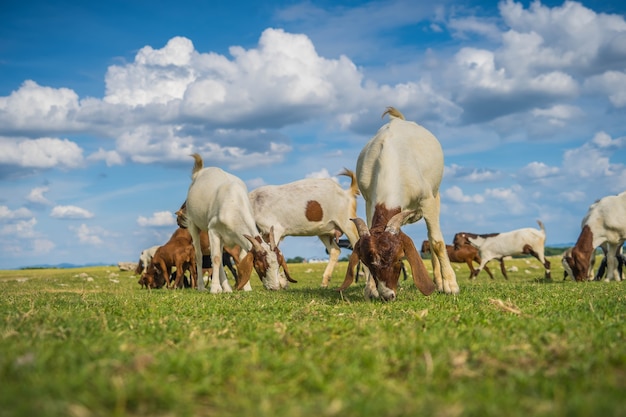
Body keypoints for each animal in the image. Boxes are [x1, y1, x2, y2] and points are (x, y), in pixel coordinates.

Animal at [180, 153, 292, 292]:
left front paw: (247, 288)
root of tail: (199, 172)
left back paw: (227, 288)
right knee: (200, 255)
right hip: (193, 223)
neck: (233, 205)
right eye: (259, 265)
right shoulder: (213, 230)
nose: (275, 287)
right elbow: (215, 258)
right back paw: (201, 287)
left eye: (278, 265)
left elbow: (238, 257)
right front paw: (215, 289)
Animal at [336, 107, 458, 300]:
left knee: (432, 237)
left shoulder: (427, 200)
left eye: (400, 258)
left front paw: (450, 285)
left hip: (435, 194)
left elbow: (437, 242)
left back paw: (440, 282)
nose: (387, 295)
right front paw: (370, 289)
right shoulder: (369, 202)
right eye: (366, 261)